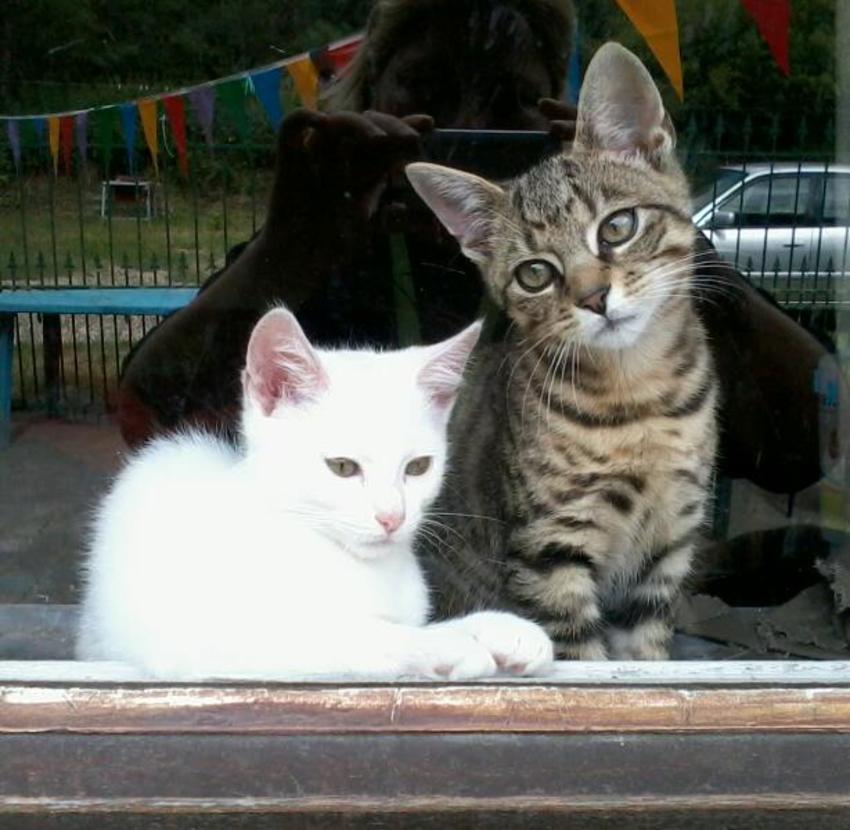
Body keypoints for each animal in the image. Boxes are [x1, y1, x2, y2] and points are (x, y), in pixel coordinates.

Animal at [76, 308, 552, 680]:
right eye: (342, 467)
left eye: (418, 467)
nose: (392, 517)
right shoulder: (206, 641)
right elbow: (353, 633)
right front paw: (447, 645)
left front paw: (498, 629)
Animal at [404, 42, 716, 660]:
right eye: (535, 274)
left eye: (618, 227)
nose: (594, 297)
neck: (638, 398)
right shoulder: (550, 551)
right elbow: (583, 659)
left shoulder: (668, 545)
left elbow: (645, 655)